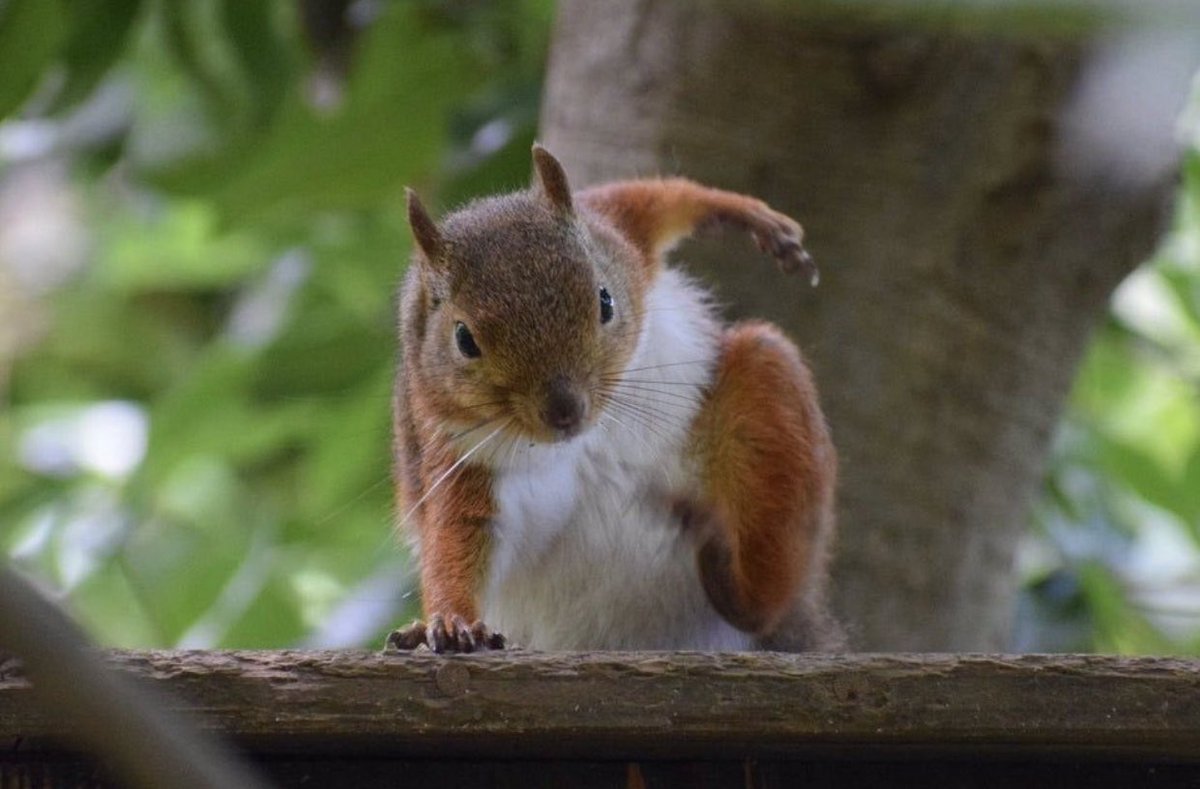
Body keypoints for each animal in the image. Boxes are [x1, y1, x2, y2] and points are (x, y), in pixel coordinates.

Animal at [388, 147, 840, 652]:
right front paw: (452, 622)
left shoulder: (615, 231)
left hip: (768, 398)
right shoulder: (458, 455)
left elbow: (652, 200)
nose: (565, 411)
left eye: (604, 300)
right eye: (464, 339)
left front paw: (748, 215)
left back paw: (735, 576)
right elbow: (458, 537)